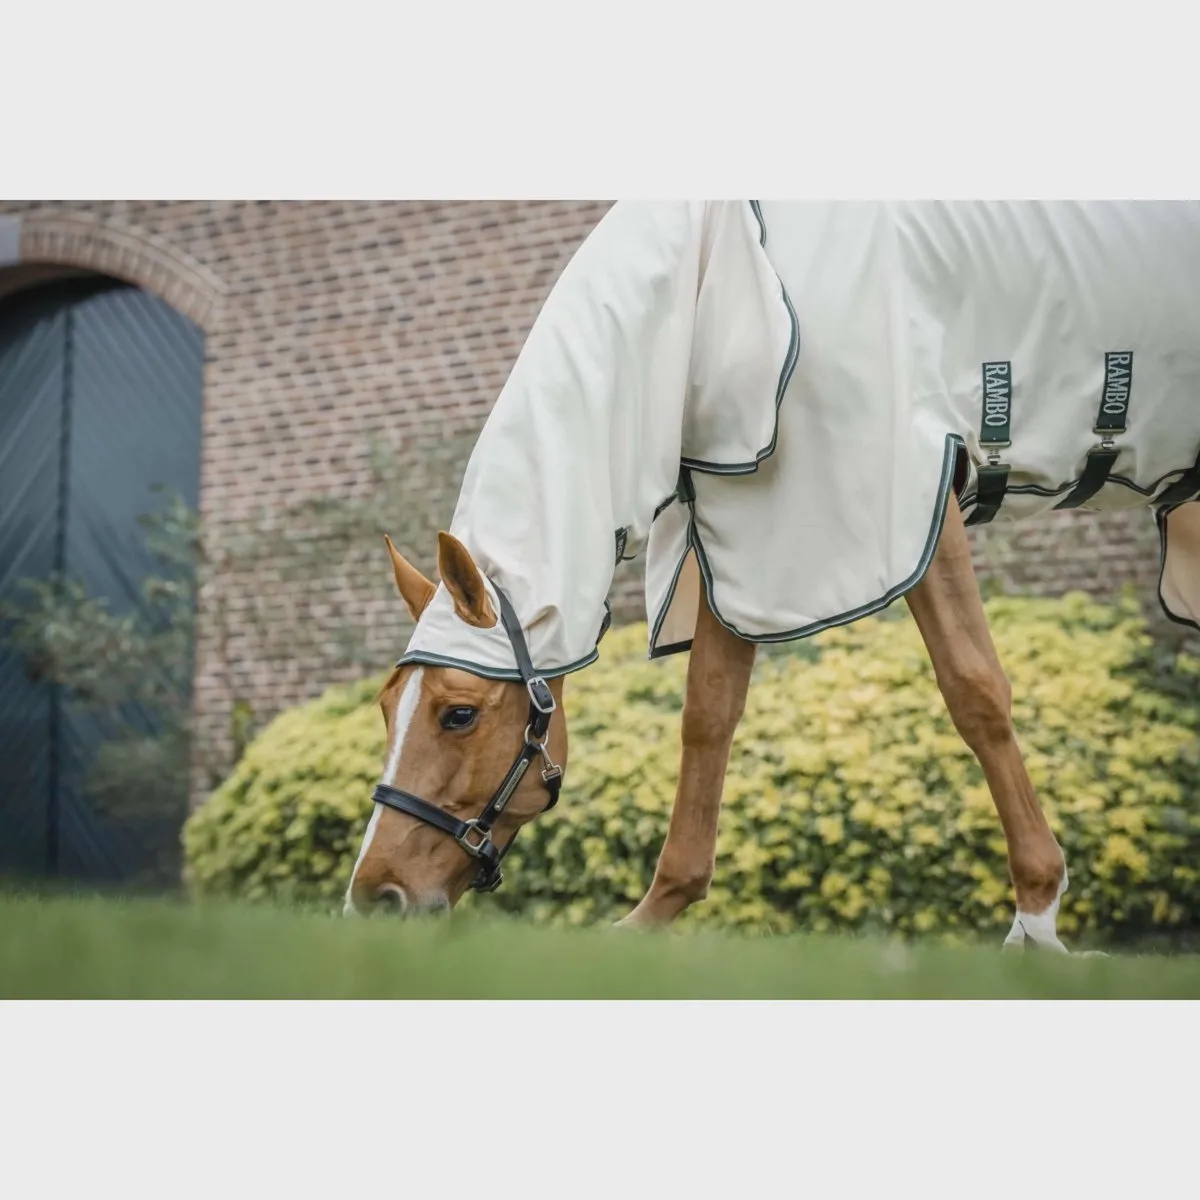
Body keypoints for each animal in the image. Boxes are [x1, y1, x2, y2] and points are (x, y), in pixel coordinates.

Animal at [343, 200, 1200, 952]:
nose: (373, 898)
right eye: (386, 707)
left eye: (457, 714)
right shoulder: (741, 544)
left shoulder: (912, 503)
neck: (712, 293)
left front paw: (1038, 917)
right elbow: (707, 720)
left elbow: (975, 691)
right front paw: (652, 916)